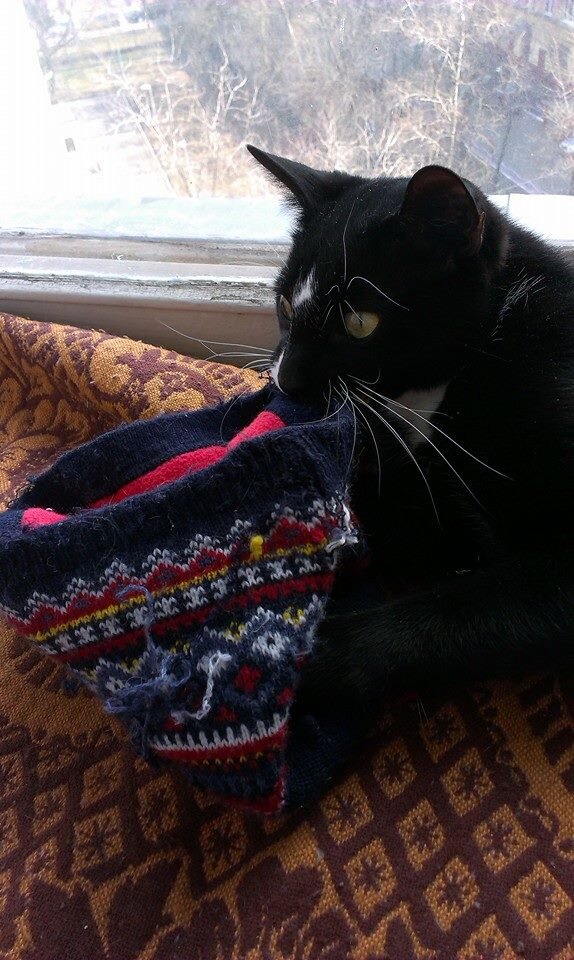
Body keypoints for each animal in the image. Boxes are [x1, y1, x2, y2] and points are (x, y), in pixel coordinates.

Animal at [247, 144, 574, 718]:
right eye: (285, 304)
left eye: (359, 323)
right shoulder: (442, 499)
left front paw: (308, 654)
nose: (286, 379)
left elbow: (457, 608)